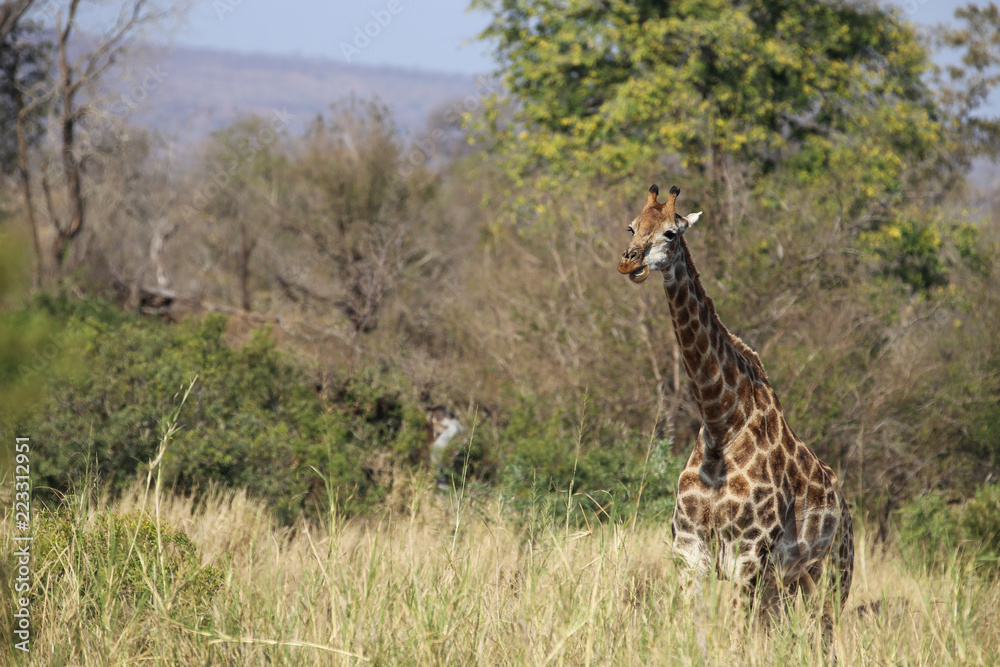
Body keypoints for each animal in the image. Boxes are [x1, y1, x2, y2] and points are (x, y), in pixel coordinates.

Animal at [617, 184, 854, 627]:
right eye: (632, 226)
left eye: (671, 233)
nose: (629, 260)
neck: (720, 421)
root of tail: (845, 510)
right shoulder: (689, 550)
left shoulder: (749, 553)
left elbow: (737, 631)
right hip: (787, 582)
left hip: (832, 576)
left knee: (823, 630)